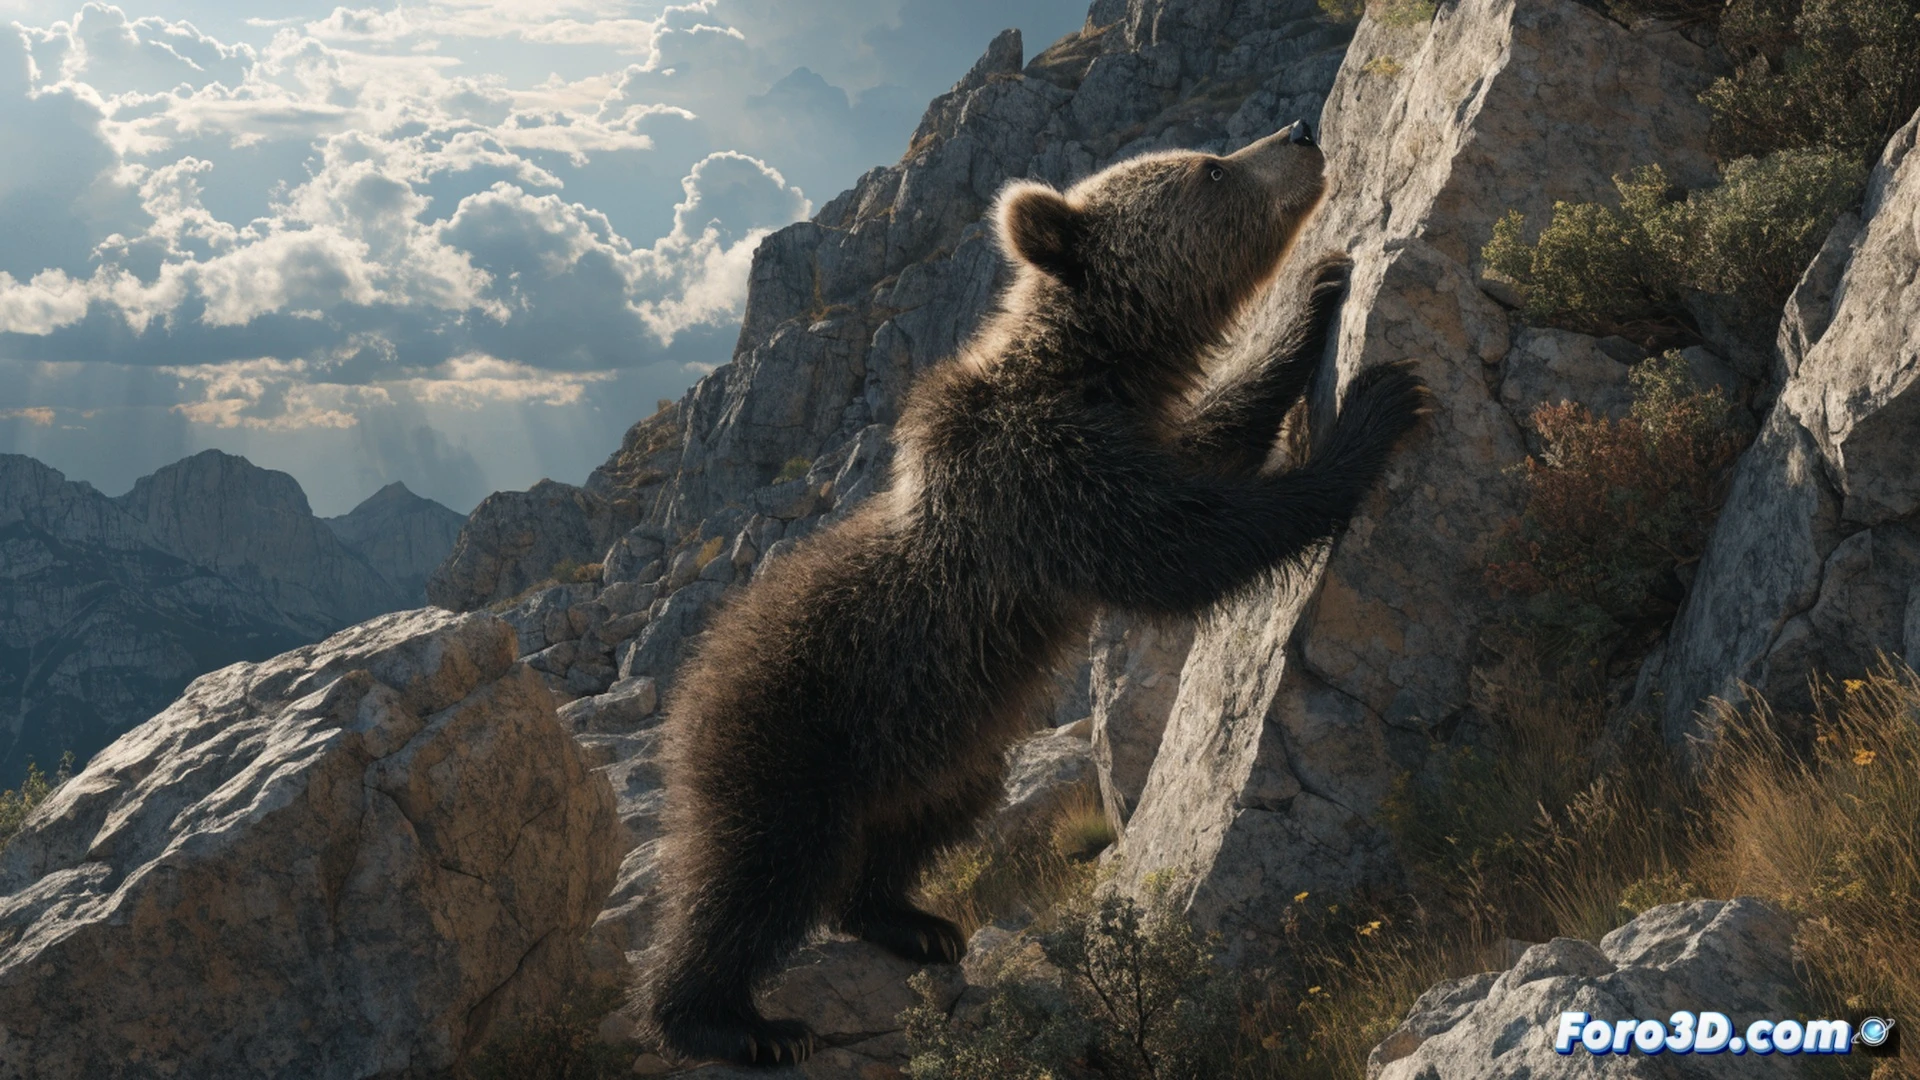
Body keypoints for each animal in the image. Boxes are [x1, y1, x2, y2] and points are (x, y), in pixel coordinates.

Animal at [642, 119, 1428, 1067]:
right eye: (1209, 171)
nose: (1301, 134)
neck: (1088, 370)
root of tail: (688, 693)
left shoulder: (1119, 439)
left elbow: (1212, 445)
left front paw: (1315, 297)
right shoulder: (1042, 482)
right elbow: (1185, 547)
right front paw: (1373, 411)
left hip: (946, 746)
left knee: (918, 828)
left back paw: (912, 921)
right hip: (794, 740)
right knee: (754, 877)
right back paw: (732, 1021)